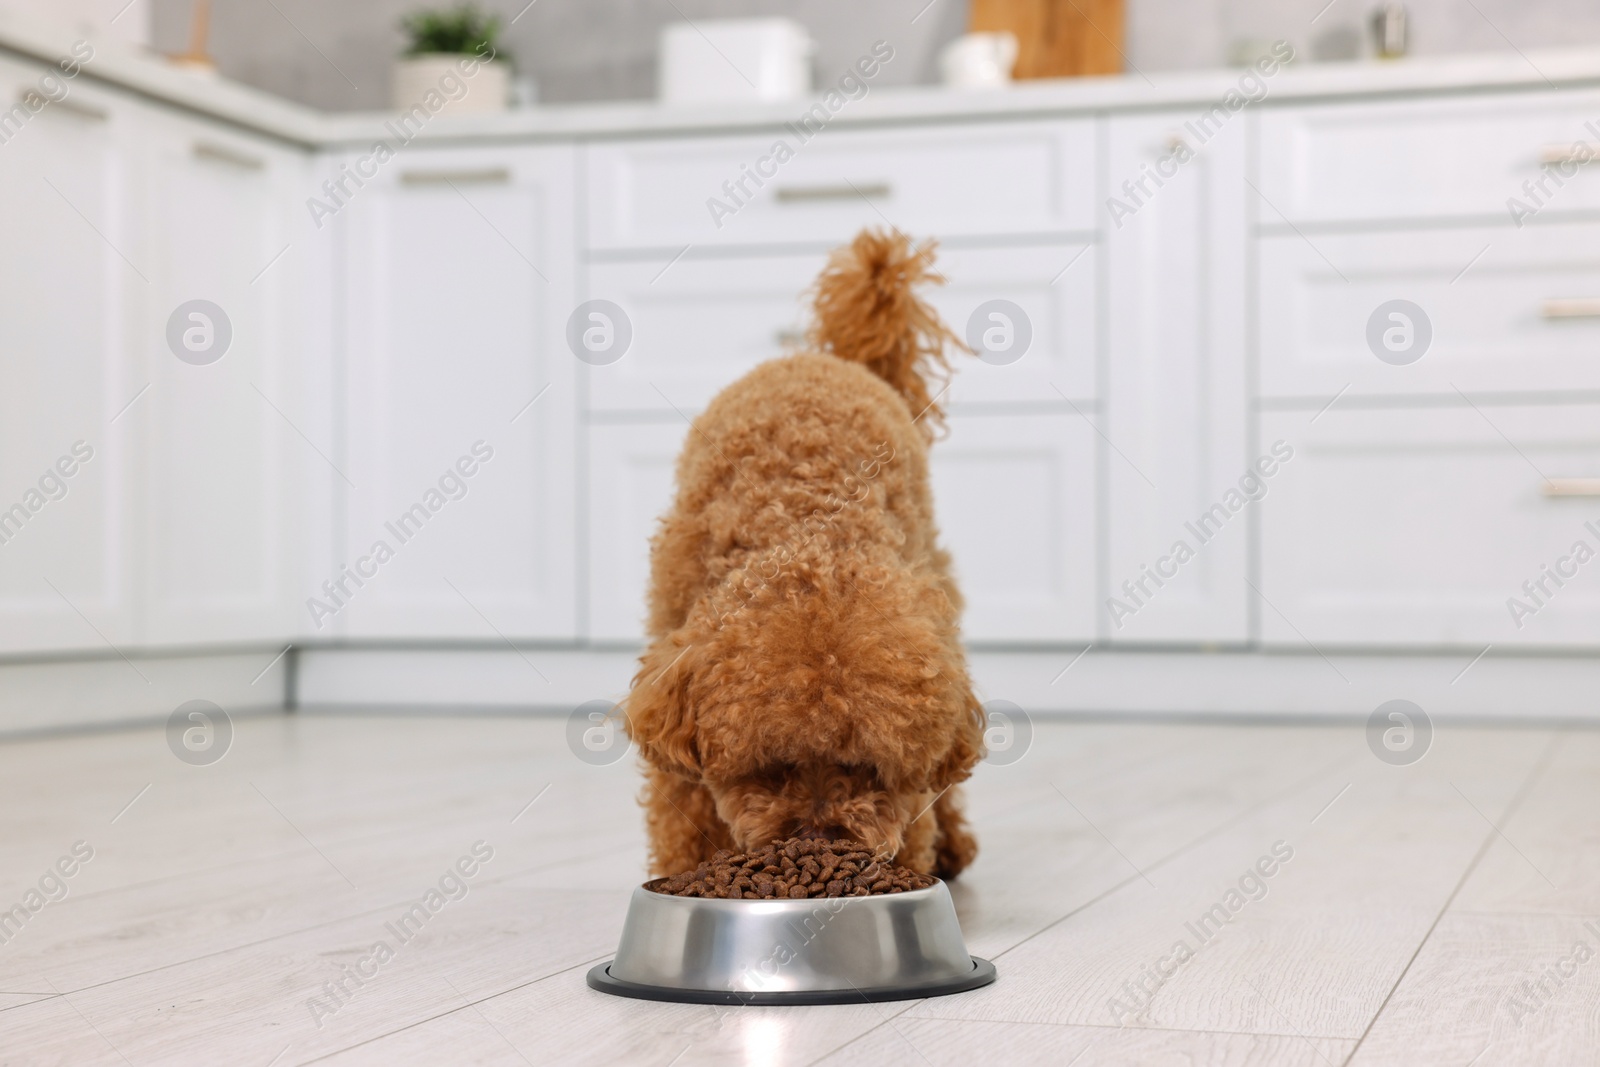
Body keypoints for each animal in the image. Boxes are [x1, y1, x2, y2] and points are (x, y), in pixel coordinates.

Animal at [620, 230, 972, 883]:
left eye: (869, 768)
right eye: (770, 767)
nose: (819, 837)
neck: (806, 520)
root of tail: (832, 359)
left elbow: (918, 815)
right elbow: (683, 809)